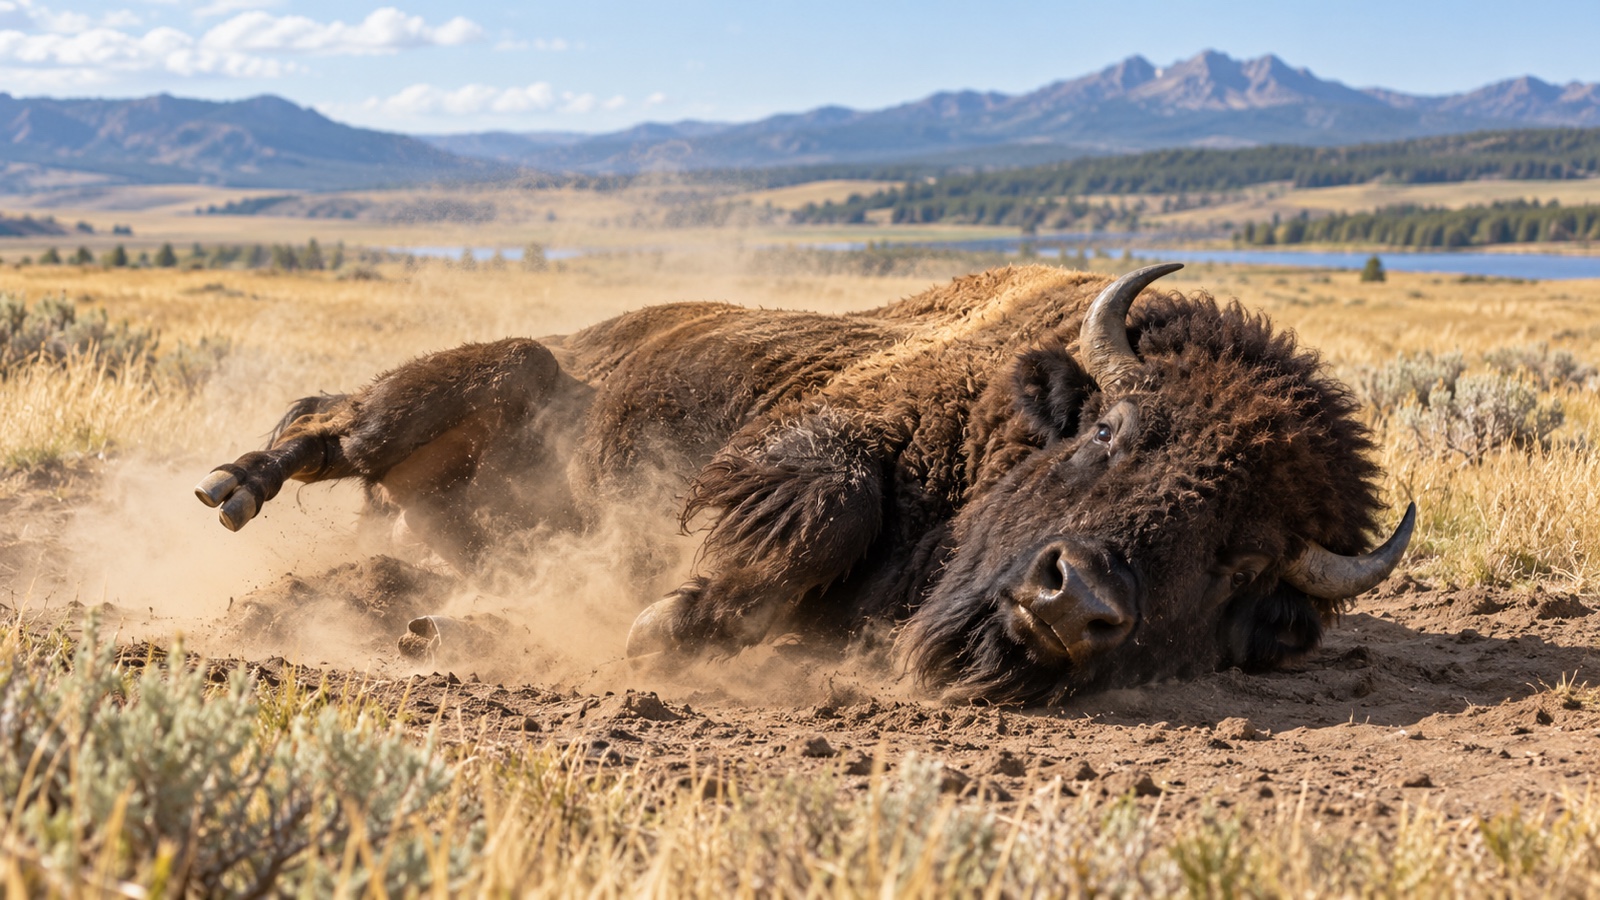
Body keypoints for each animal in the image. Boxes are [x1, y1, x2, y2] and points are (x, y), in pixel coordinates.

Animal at [196, 263, 1413, 704]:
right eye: (1112, 432)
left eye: (1239, 562)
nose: (1073, 603)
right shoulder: (816, 446)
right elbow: (825, 507)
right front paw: (670, 621)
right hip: (463, 385)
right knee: (324, 421)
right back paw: (230, 489)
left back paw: (410, 620)